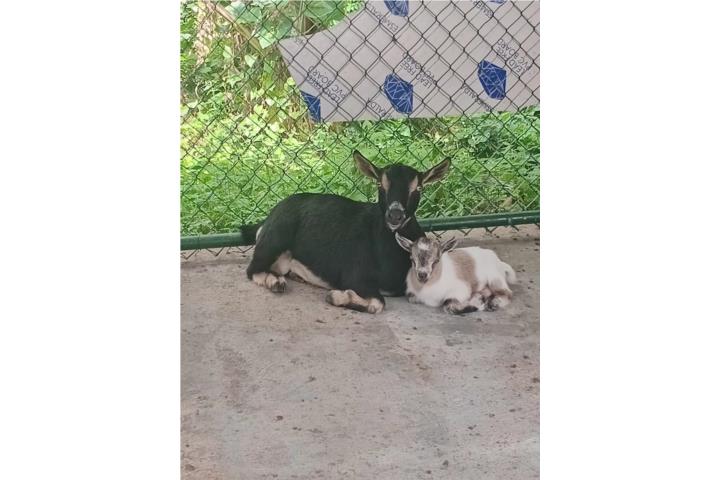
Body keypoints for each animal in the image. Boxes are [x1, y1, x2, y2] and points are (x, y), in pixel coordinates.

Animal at [243, 151, 451, 314]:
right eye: (379, 184)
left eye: (419, 187)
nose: (395, 215)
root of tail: (268, 218)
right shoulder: (355, 275)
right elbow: (378, 303)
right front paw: (337, 296)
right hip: (275, 239)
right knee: (253, 269)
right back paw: (276, 282)